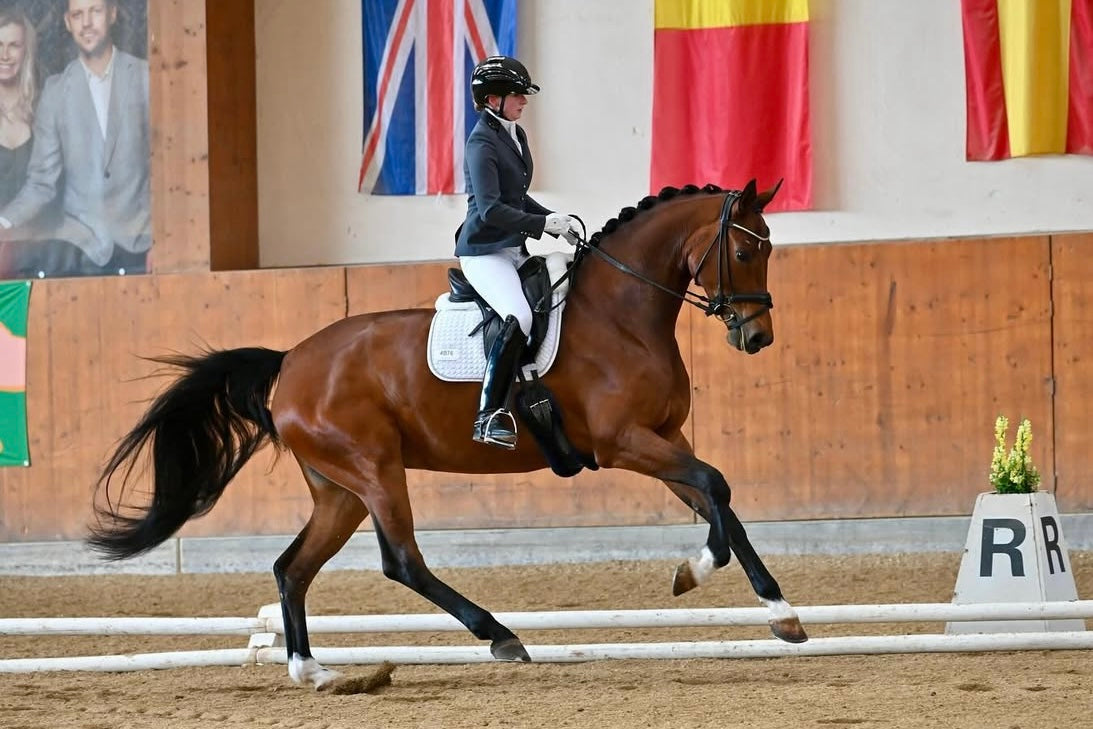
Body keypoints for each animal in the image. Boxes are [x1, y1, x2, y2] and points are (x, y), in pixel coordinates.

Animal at [88, 179, 807, 690]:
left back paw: (312, 670)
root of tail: (290, 362)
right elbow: (715, 487)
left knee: (292, 567)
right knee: (400, 560)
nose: (756, 337)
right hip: (374, 469)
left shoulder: (666, 437)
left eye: (770, 248)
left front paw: (779, 611)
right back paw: (499, 635)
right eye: (745, 250)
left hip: (339, 489)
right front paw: (695, 572)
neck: (620, 314)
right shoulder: (623, 442)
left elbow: (719, 500)